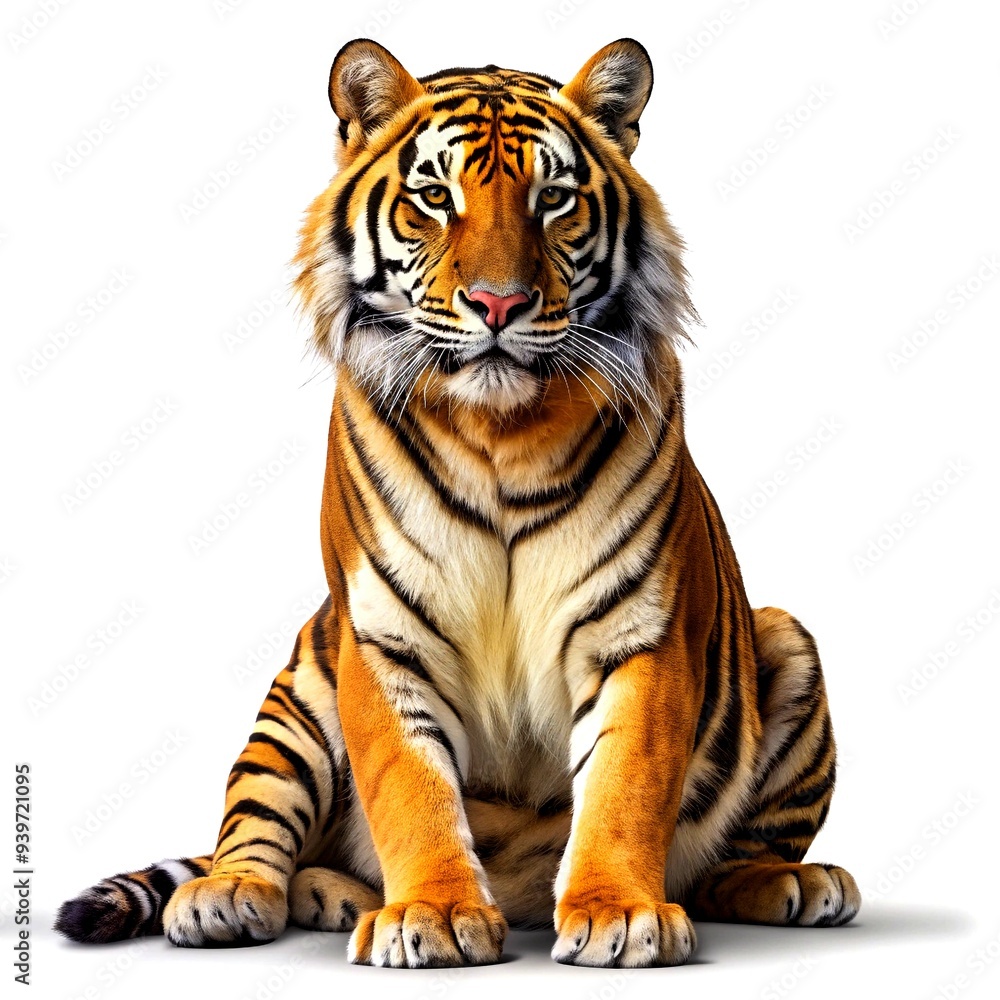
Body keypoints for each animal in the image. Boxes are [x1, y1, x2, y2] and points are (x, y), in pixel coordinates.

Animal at [56, 38, 860, 969]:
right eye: (436, 198)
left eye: (553, 199)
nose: (498, 304)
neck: (498, 433)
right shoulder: (383, 635)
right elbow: (408, 785)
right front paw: (433, 913)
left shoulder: (637, 630)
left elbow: (626, 784)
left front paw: (618, 912)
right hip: (297, 695)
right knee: (253, 820)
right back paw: (245, 895)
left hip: (784, 638)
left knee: (735, 859)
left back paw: (796, 883)